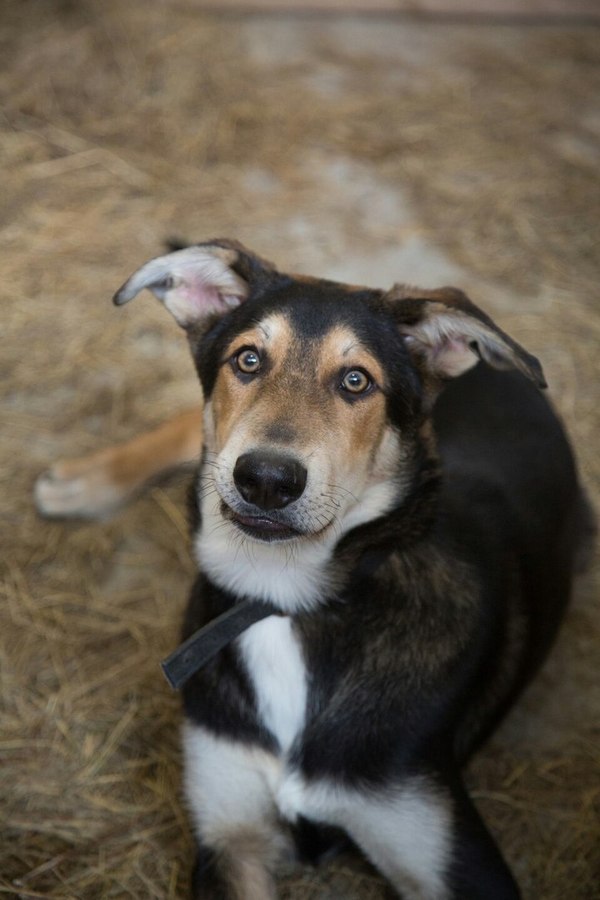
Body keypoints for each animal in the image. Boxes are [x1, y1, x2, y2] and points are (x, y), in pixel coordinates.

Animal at [35, 241, 592, 900]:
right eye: (248, 360)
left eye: (356, 381)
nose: (265, 479)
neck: (285, 598)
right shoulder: (227, 837)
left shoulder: (447, 851)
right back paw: (82, 483)